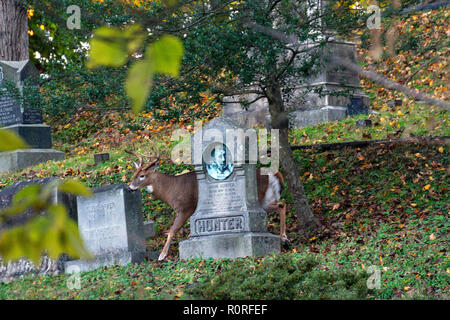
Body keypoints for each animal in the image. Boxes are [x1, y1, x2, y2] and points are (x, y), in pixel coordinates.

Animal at [125, 144, 288, 262]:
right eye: (134, 174)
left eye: (142, 175)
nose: (130, 186)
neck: (171, 190)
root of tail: (274, 173)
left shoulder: (186, 207)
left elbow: (172, 230)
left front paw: (162, 255)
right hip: (266, 199)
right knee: (282, 204)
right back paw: (284, 238)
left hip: (259, 198)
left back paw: (283, 237)